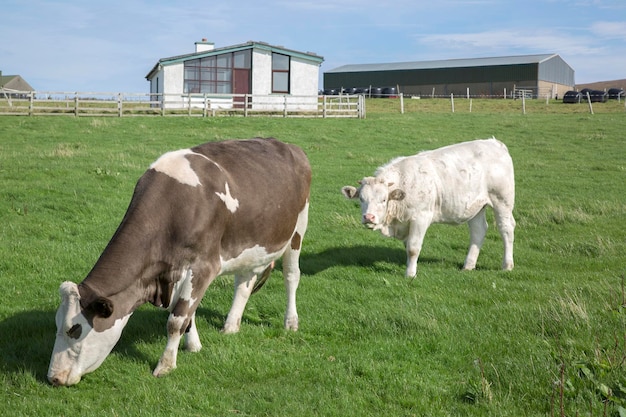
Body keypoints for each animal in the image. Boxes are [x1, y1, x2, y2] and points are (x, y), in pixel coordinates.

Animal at [47, 138, 310, 386]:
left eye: (74, 329)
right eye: (56, 325)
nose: (54, 377)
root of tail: (288, 145)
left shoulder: (203, 266)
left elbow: (177, 319)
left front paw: (165, 366)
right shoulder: (176, 272)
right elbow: (187, 314)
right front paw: (193, 346)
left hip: (298, 229)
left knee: (291, 276)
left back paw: (290, 322)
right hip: (250, 243)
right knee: (244, 283)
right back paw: (230, 326)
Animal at [342, 138, 512, 278]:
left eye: (383, 200)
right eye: (362, 199)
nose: (368, 217)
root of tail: (494, 142)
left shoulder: (421, 218)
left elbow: (413, 248)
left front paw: (410, 274)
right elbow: (407, 246)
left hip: (502, 201)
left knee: (506, 229)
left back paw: (507, 265)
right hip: (475, 206)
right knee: (478, 230)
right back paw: (468, 265)